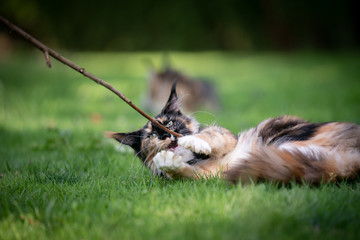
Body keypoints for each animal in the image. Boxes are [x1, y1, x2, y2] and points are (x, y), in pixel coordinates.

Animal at [107, 83, 360, 184]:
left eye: (167, 122)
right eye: (150, 136)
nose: (163, 136)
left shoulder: (226, 136)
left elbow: (210, 136)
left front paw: (194, 142)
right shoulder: (208, 176)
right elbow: (180, 171)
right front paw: (166, 161)